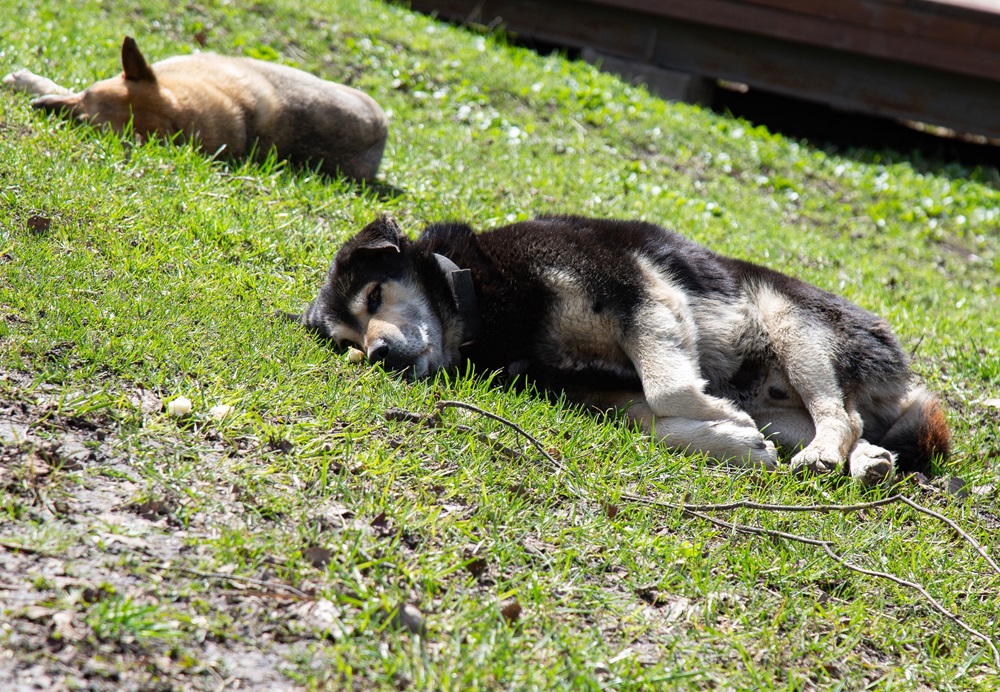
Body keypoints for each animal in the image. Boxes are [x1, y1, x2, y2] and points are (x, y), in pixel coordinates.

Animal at [2, 37, 386, 181]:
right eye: (87, 91)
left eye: (82, 120)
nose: (40, 108)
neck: (181, 116)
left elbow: (59, 88)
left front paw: (29, 83)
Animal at [292, 214, 948, 484]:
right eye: (349, 344)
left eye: (375, 294)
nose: (378, 354)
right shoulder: (588, 385)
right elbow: (651, 417)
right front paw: (730, 438)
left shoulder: (641, 296)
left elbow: (670, 387)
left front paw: (718, 415)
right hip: (785, 396)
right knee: (851, 424)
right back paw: (866, 460)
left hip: (795, 324)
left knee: (841, 412)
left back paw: (826, 454)